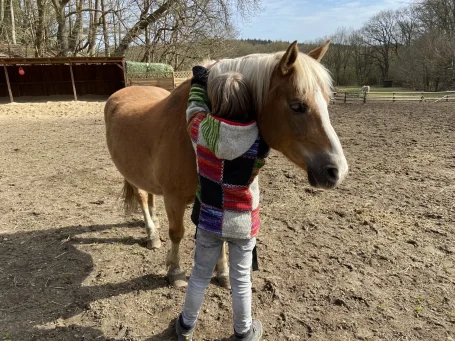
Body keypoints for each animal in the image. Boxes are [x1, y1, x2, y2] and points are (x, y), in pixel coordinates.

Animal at [105, 41, 350, 288]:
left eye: (327, 102)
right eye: (297, 106)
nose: (337, 171)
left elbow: (219, 235)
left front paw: (222, 272)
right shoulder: (174, 198)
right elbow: (177, 233)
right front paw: (175, 271)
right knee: (142, 198)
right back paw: (152, 234)